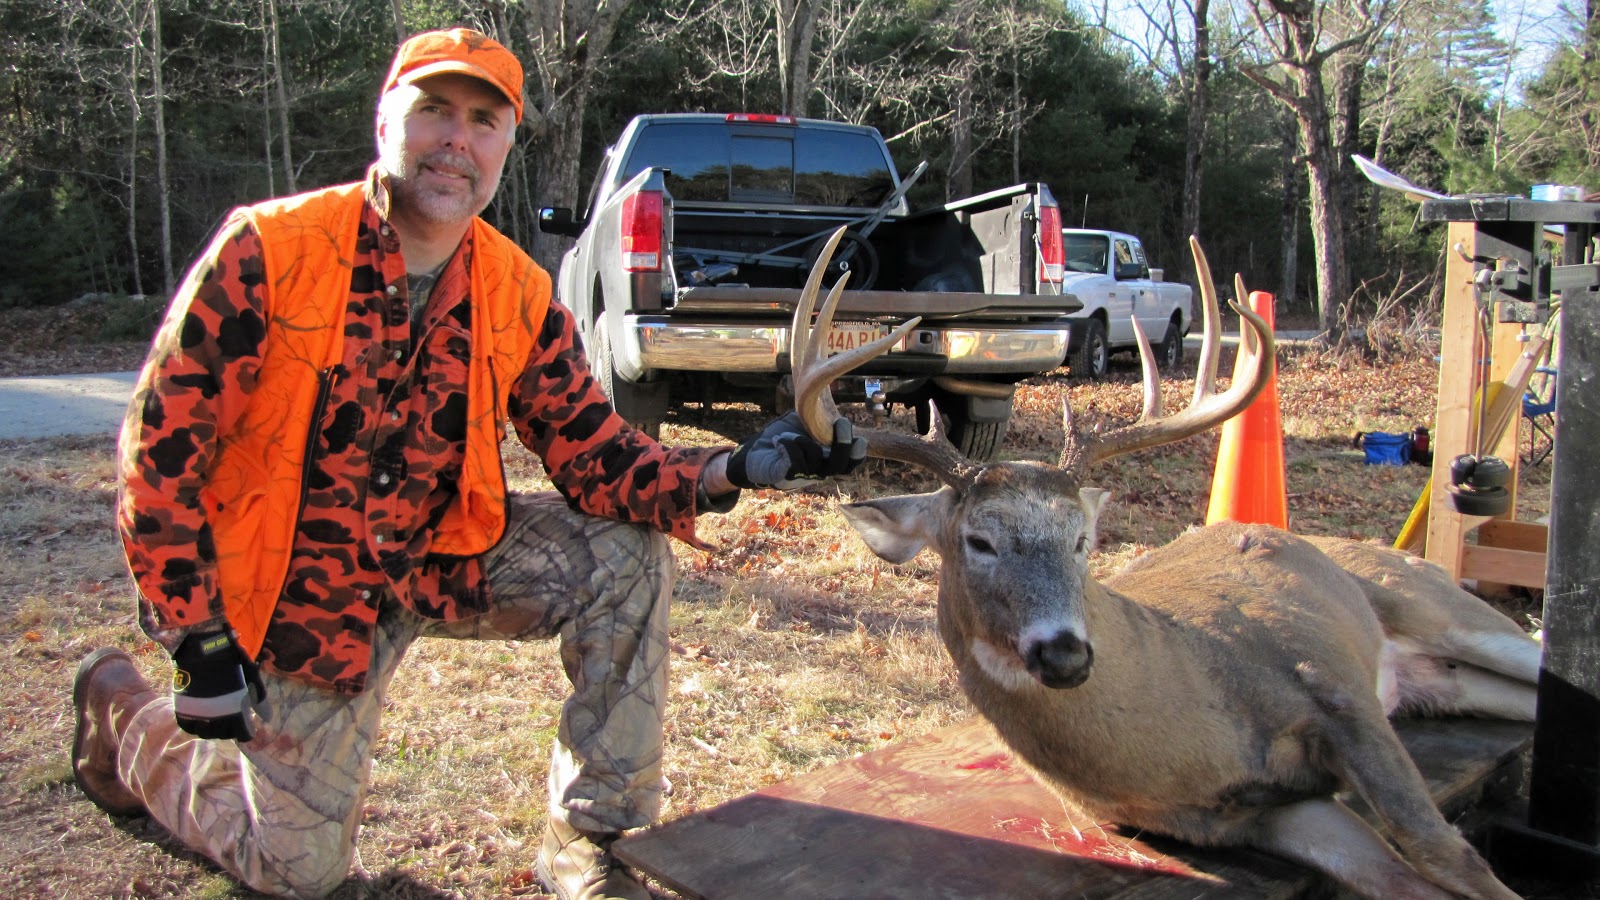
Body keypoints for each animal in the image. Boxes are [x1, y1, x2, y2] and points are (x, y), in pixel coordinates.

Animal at [786, 228, 1541, 900]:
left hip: (1442, 609)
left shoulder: (1336, 692)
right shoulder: (1253, 816)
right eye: (979, 541)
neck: (1193, 721)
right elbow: (1403, 878)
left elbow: (1446, 852)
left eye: (1083, 539)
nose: (1065, 654)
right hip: (1442, 682)